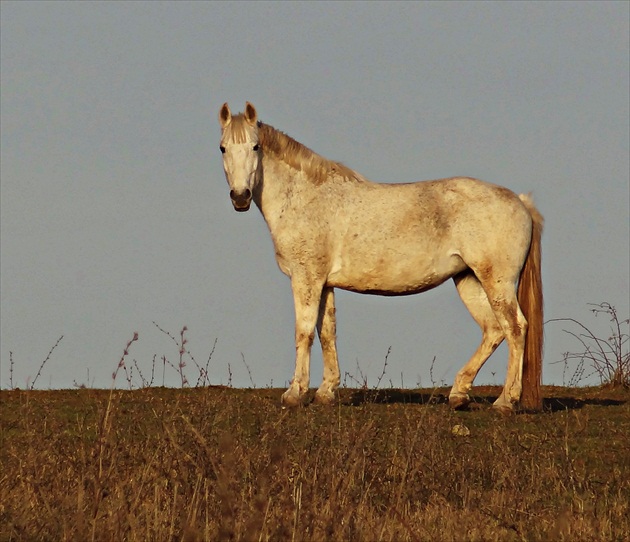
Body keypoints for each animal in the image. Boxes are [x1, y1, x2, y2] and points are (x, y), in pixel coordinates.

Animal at [220, 102, 544, 414]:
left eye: (255, 146)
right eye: (223, 147)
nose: (240, 196)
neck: (307, 199)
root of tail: (521, 202)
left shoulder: (306, 279)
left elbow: (304, 332)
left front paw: (294, 394)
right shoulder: (325, 283)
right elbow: (327, 333)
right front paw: (326, 393)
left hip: (497, 281)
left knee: (516, 328)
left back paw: (505, 402)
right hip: (468, 279)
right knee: (493, 330)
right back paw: (458, 395)